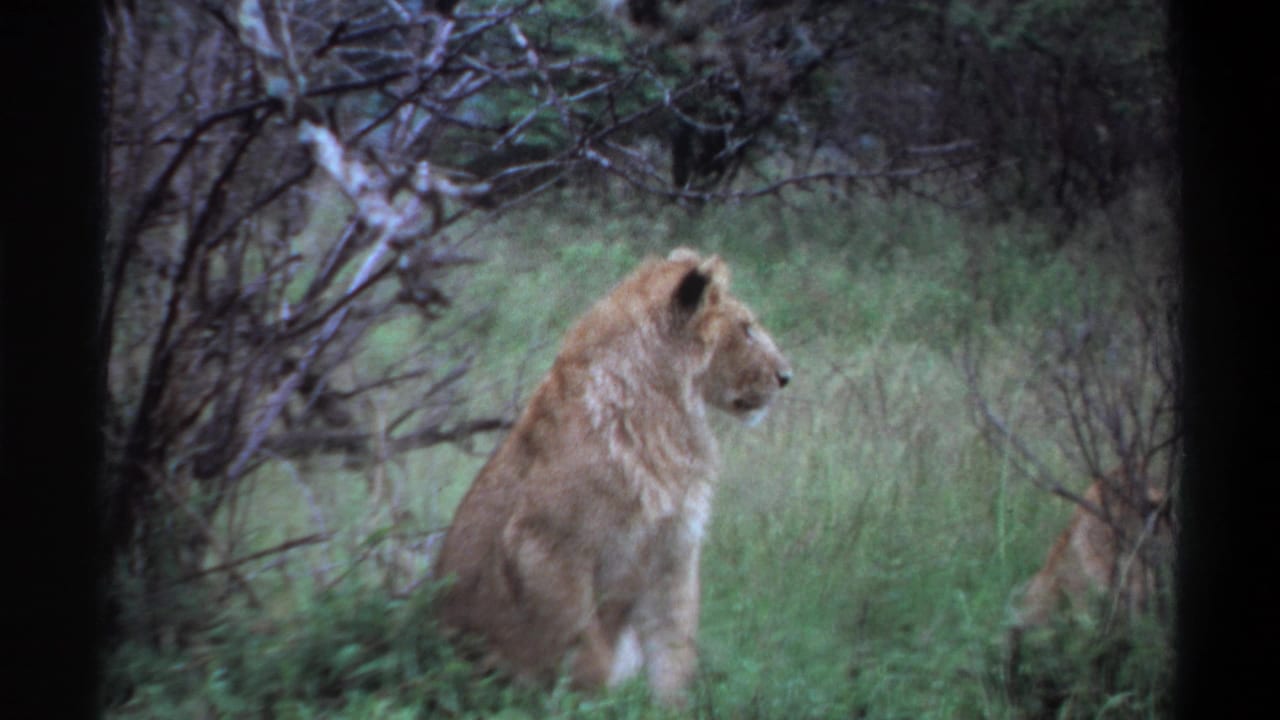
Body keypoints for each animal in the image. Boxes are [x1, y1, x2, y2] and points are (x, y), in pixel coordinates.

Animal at [432, 247, 792, 706]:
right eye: (746, 329)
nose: (786, 377)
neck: (666, 414)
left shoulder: (675, 553)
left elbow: (673, 651)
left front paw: (669, 709)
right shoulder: (545, 546)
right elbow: (586, 651)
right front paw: (591, 704)